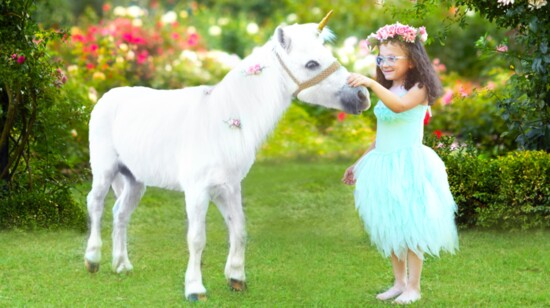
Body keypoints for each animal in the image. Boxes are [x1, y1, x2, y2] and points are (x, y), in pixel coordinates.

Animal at [85, 13, 370, 300]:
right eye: (311, 64)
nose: (362, 96)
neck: (223, 120)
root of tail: (108, 97)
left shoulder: (229, 187)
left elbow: (239, 229)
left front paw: (236, 278)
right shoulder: (197, 190)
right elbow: (197, 238)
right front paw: (195, 289)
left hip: (134, 181)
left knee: (120, 213)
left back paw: (122, 265)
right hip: (105, 171)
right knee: (96, 205)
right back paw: (93, 260)